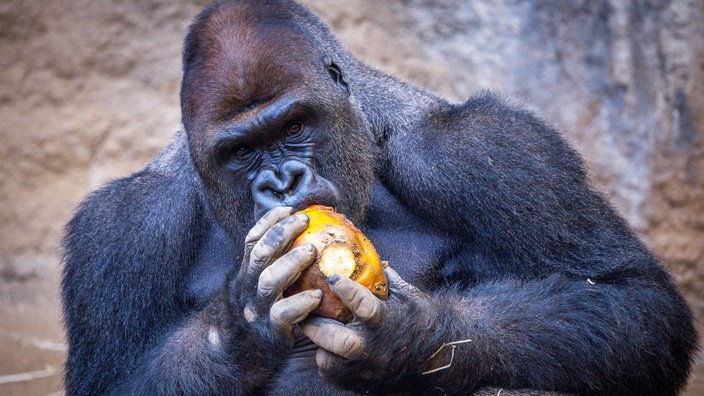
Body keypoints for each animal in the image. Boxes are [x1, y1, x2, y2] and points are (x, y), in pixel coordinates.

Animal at [62, 0, 700, 396]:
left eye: (294, 126)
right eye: (241, 151)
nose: (282, 183)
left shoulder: (492, 147)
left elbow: (632, 299)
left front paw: (412, 341)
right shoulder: (118, 232)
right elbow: (109, 382)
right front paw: (243, 326)